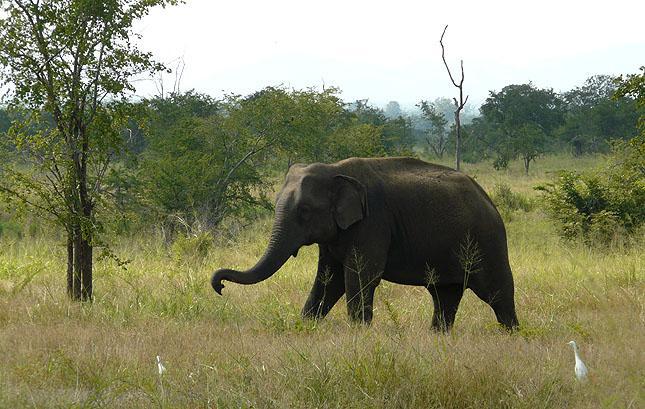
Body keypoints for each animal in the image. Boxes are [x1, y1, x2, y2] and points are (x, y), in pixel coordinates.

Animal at [211, 155, 520, 328]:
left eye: (305, 211)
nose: (220, 286)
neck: (334, 170)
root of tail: (489, 201)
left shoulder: (373, 222)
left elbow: (360, 277)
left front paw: (360, 333)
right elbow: (329, 280)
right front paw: (305, 327)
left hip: (487, 242)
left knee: (497, 294)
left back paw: (513, 335)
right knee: (444, 296)